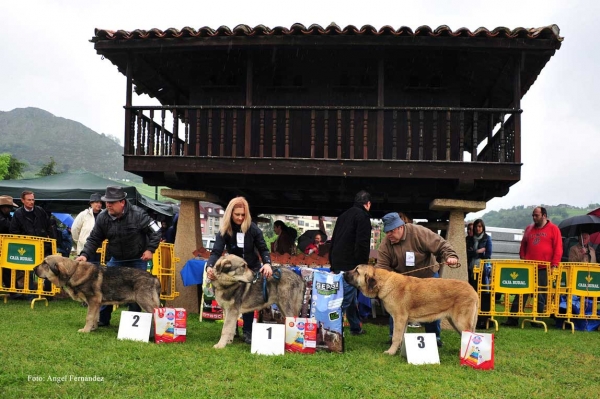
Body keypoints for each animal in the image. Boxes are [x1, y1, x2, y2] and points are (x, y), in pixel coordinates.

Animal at [342, 266, 478, 356]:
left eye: (356, 271)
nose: (343, 273)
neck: (383, 282)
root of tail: (473, 290)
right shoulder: (404, 321)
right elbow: (401, 336)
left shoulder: (399, 318)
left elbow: (396, 337)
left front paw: (390, 352)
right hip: (455, 322)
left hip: (460, 321)